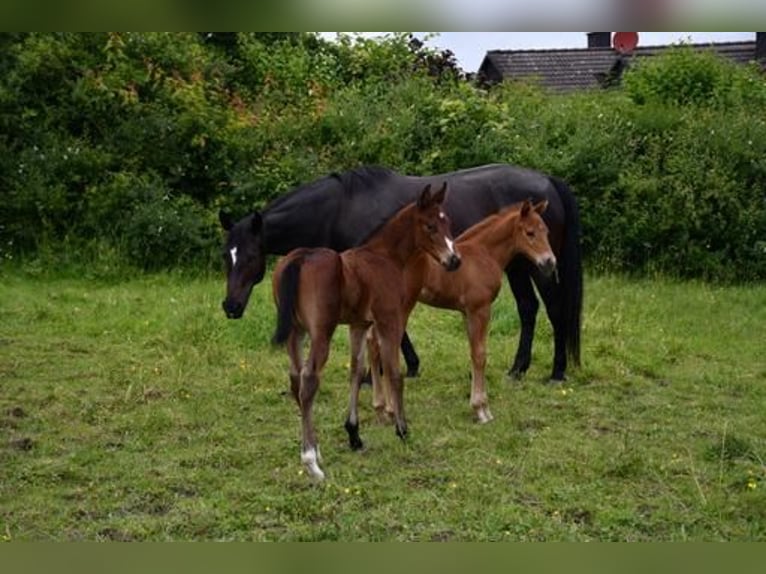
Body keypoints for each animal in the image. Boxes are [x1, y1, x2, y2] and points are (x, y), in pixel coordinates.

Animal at [219, 163, 584, 382]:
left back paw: (556, 371)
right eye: (227, 255)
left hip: (539, 265)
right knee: (528, 308)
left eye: (249, 256)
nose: (231, 307)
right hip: (517, 265)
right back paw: (517, 369)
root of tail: (548, 181)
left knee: (554, 309)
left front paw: (388, 370)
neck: (340, 208)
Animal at [270, 184, 462, 482]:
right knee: (309, 379)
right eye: (430, 225)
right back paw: (311, 462)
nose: (454, 260)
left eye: (448, 222)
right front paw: (402, 429)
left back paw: (316, 450)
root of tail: (300, 258)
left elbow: (357, 371)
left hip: (296, 331)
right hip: (321, 332)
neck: (385, 258)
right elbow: (394, 373)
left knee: (295, 378)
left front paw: (354, 434)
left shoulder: (359, 325)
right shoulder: (388, 320)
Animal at [368, 200, 556, 426]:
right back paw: (389, 410)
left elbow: (473, 352)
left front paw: (477, 406)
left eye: (546, 231)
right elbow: (480, 354)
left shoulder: (467, 312)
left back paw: (380, 409)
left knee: (373, 343)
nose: (549, 262)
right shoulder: (480, 309)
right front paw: (482, 410)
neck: (484, 253)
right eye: (530, 233)